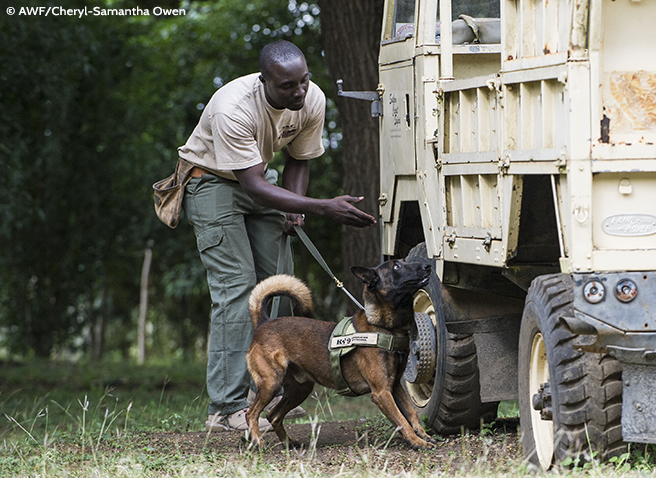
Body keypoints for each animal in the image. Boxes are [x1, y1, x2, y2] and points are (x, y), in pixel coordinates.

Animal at [246, 260, 436, 450]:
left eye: (404, 261)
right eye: (396, 266)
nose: (427, 265)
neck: (386, 328)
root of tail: (263, 323)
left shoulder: (395, 386)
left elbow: (411, 413)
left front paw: (423, 435)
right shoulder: (381, 393)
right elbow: (402, 420)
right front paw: (417, 441)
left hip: (300, 389)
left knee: (273, 415)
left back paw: (289, 443)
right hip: (271, 383)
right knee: (252, 413)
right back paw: (257, 441)